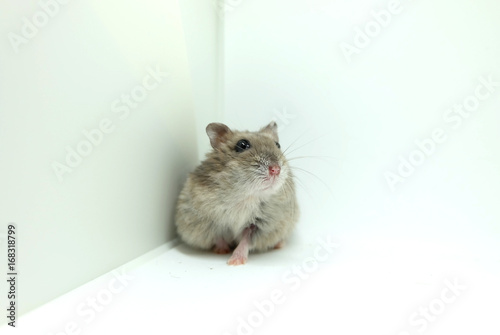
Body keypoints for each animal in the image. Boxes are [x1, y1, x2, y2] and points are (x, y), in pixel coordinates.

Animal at [176, 122, 298, 266]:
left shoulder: (260, 225)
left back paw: (279, 244)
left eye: (278, 145)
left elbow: (245, 241)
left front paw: (234, 262)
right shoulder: (208, 220)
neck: (246, 195)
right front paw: (222, 251)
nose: (276, 170)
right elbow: (219, 237)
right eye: (242, 145)